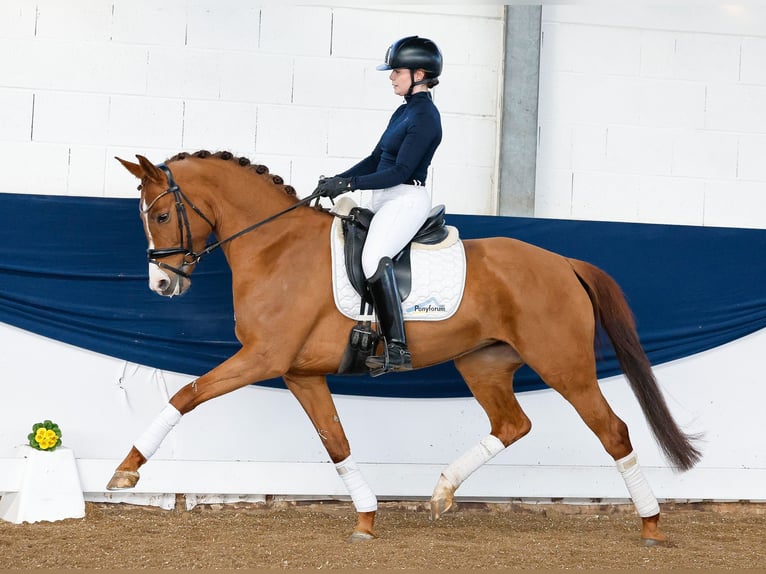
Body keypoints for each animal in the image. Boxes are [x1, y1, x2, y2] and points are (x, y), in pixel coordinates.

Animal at [108, 151, 704, 548]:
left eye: (161, 216)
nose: (161, 284)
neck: (276, 248)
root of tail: (564, 263)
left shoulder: (262, 358)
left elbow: (186, 395)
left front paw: (126, 471)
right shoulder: (300, 373)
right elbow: (336, 442)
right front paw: (367, 519)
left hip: (566, 366)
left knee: (614, 431)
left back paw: (651, 525)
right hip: (484, 363)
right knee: (513, 424)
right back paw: (441, 492)